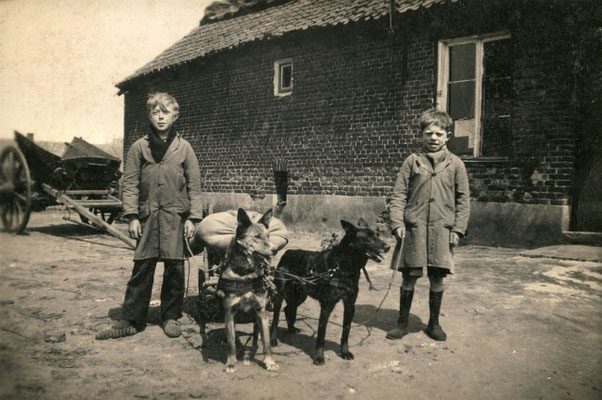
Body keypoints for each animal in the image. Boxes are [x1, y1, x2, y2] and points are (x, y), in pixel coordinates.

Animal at [218, 208, 278, 374]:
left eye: (268, 236)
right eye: (257, 237)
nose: (275, 250)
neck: (245, 274)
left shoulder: (261, 311)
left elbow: (267, 342)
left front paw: (269, 361)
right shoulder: (230, 312)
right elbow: (232, 343)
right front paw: (231, 363)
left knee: (256, 334)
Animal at [268, 219, 390, 366]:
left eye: (377, 235)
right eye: (369, 237)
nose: (388, 247)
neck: (343, 266)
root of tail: (287, 253)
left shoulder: (350, 305)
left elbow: (346, 331)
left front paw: (344, 352)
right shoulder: (327, 306)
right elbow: (321, 334)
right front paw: (318, 357)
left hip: (300, 295)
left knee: (288, 309)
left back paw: (292, 329)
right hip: (279, 296)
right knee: (275, 319)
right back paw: (273, 340)